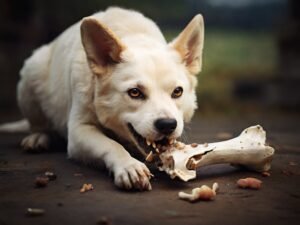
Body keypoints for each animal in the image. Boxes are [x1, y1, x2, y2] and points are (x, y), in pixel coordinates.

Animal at [0, 6, 204, 190]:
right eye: (135, 92)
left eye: (177, 92)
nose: (167, 125)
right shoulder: (78, 131)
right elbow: (111, 145)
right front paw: (128, 166)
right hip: (30, 73)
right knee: (37, 124)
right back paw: (39, 137)